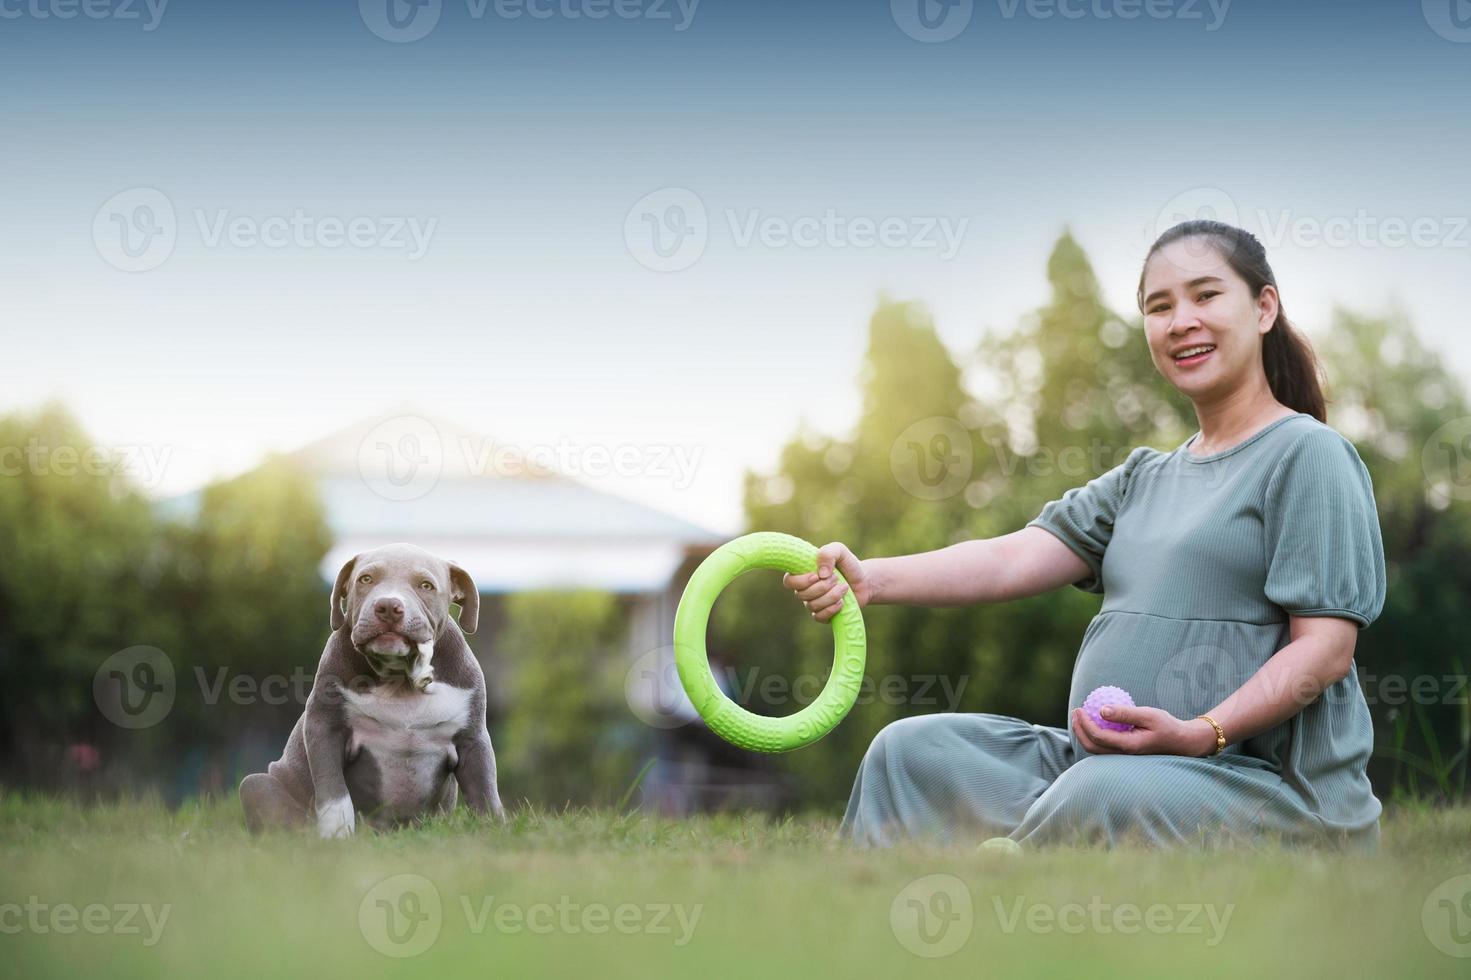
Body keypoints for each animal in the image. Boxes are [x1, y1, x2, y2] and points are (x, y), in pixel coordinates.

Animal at [235, 541, 500, 829]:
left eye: (426, 585)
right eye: (365, 579)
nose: (388, 605)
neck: (399, 679)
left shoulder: (473, 739)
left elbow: (485, 793)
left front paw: (494, 828)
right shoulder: (325, 727)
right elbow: (334, 791)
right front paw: (337, 832)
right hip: (258, 785)